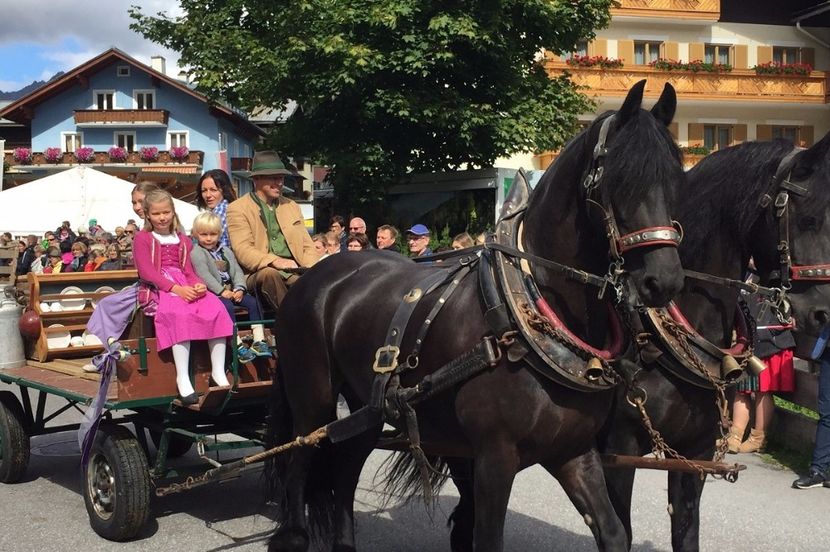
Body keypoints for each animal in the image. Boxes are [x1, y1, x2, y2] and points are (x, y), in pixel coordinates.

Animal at [270, 81, 684, 552]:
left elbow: (614, 532)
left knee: (344, 470)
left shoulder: (573, 451)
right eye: (620, 178)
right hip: (313, 401)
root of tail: (313, 276)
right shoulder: (494, 458)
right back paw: (293, 533)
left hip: (366, 409)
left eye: (675, 179)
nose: (663, 281)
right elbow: (485, 536)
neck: (530, 315)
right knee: (298, 464)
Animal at [600, 132, 830, 548]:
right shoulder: (617, 451)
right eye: (809, 220)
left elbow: (686, 532)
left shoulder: (695, 454)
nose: (822, 313)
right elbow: (618, 530)